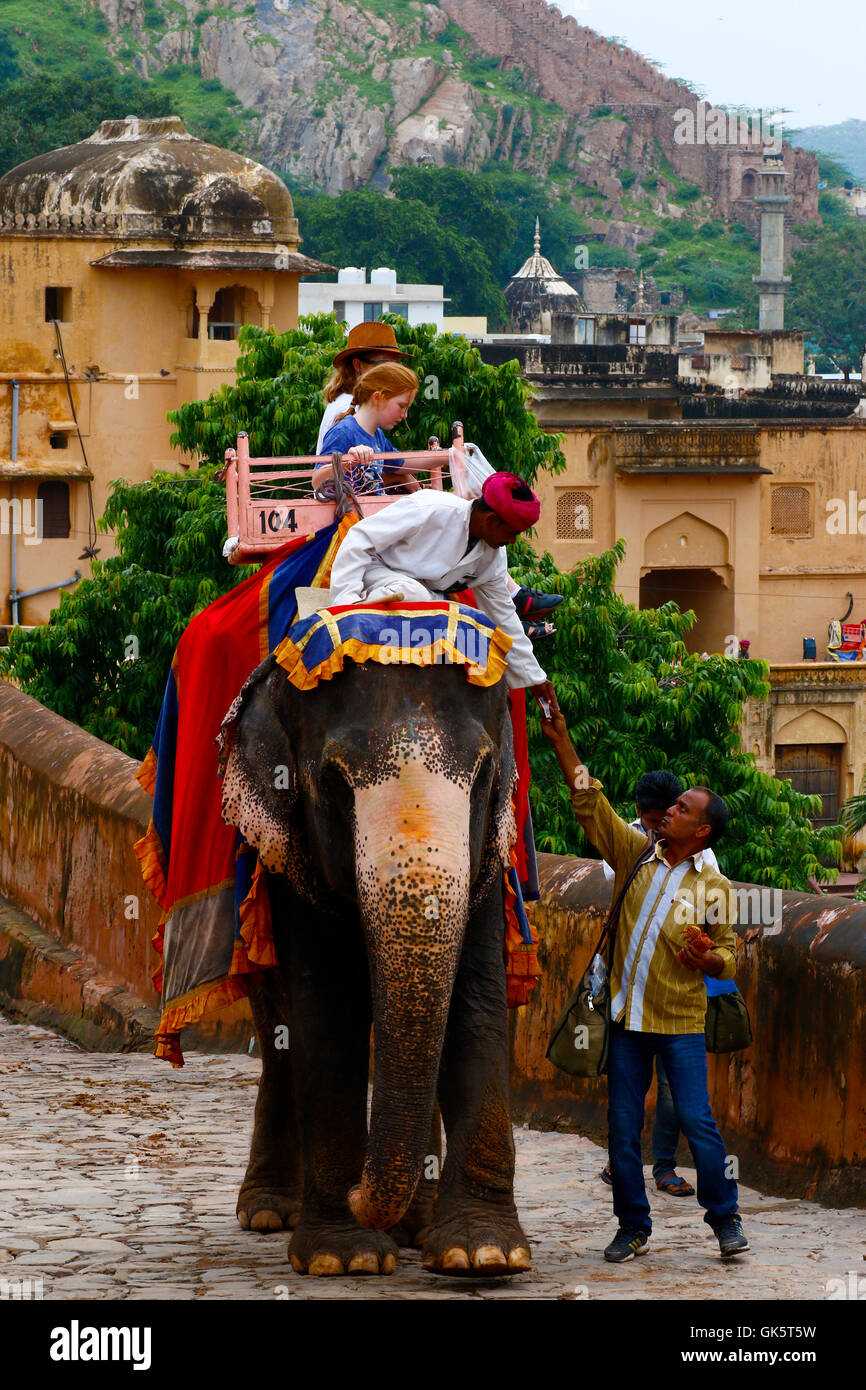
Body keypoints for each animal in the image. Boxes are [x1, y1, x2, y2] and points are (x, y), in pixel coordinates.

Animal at [216, 650, 530, 1278]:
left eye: (485, 775)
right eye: (333, 782)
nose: (362, 1193)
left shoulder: (487, 853)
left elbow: (476, 1003)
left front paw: (483, 1254)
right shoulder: (293, 859)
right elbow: (327, 1007)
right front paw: (346, 1256)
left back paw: (417, 1225)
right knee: (278, 1031)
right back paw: (269, 1213)